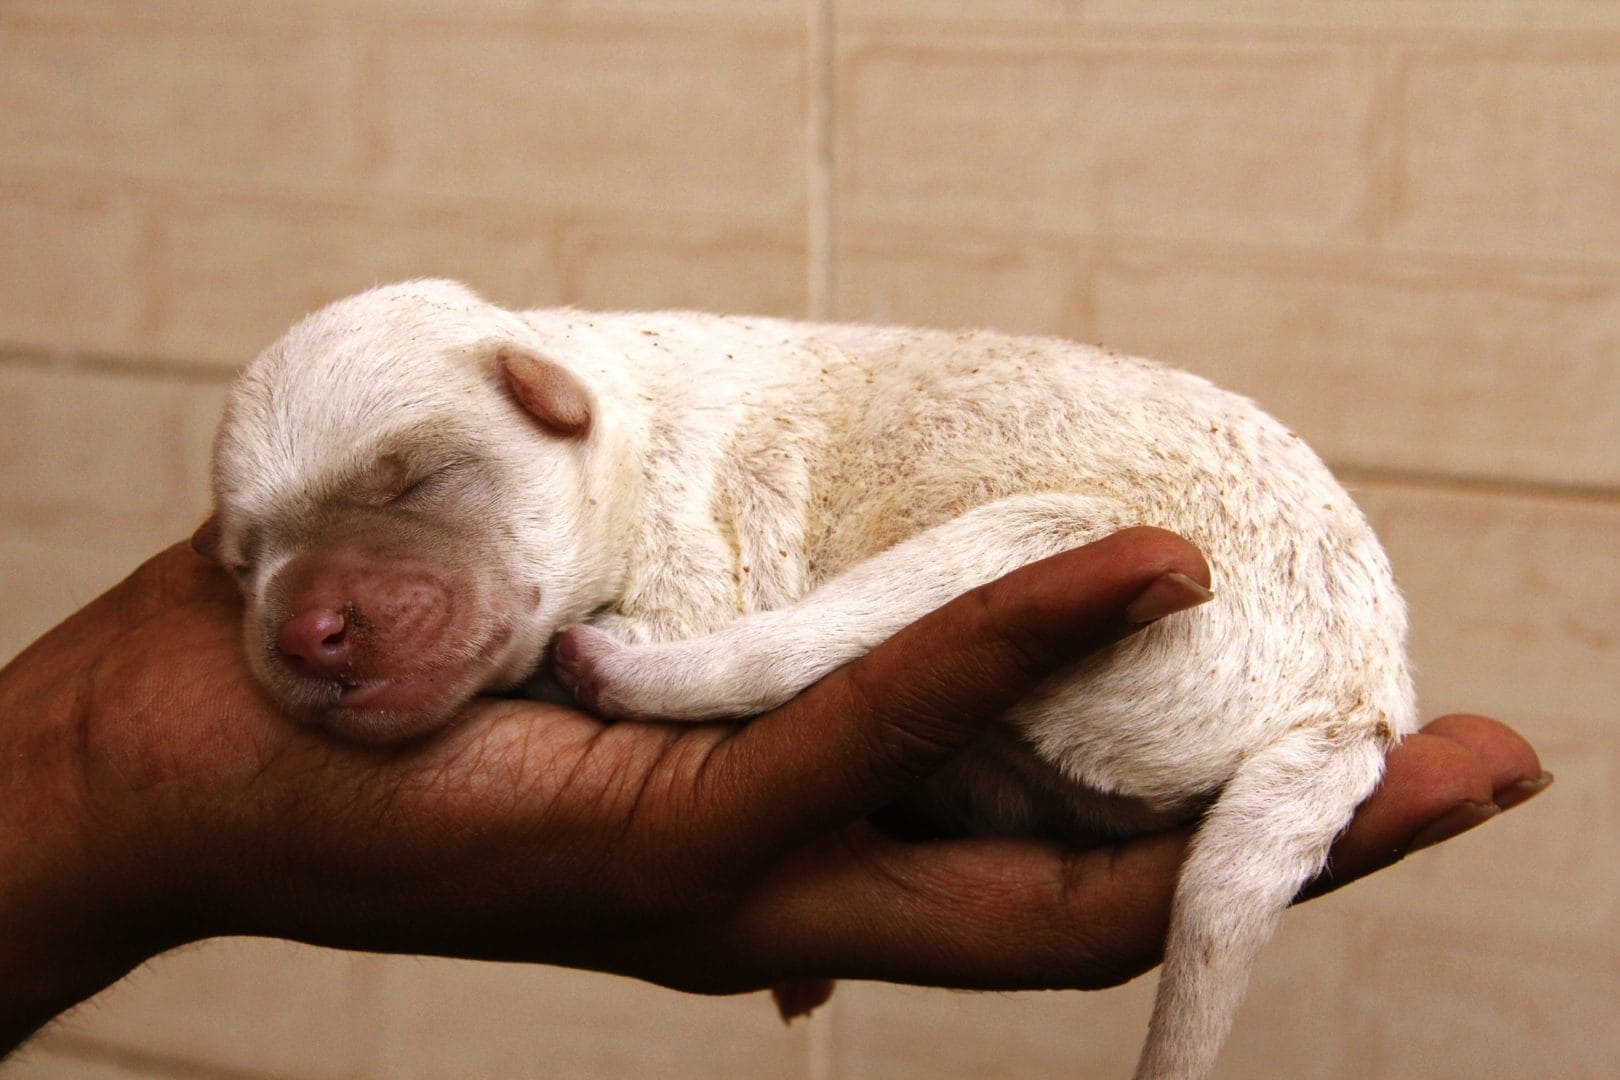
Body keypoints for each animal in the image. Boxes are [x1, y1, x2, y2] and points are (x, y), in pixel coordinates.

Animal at [202, 281, 1419, 1080]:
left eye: (415, 481)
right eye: (245, 558)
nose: (305, 632)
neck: (616, 424)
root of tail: (1357, 708)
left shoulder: (693, 560)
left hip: (1054, 538)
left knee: (771, 655)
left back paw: (615, 670)